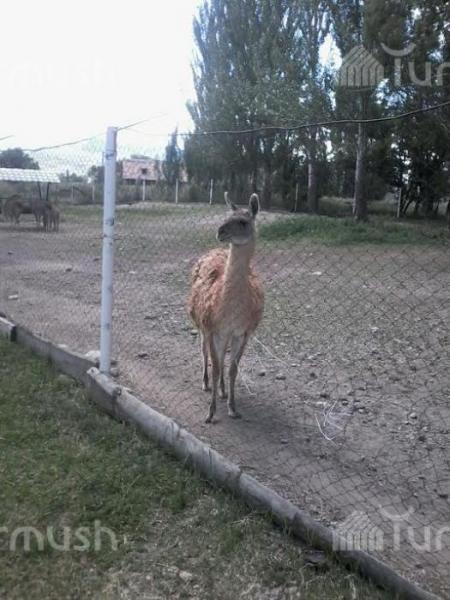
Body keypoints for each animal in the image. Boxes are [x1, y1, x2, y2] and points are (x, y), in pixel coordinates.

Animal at [188, 192, 264, 423]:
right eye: (226, 216)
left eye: (243, 221)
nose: (220, 231)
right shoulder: (212, 328)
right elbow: (216, 366)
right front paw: (210, 413)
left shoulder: (243, 332)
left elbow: (232, 369)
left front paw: (232, 407)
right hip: (202, 325)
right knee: (205, 351)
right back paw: (206, 384)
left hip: (227, 335)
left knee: (222, 359)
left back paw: (222, 390)